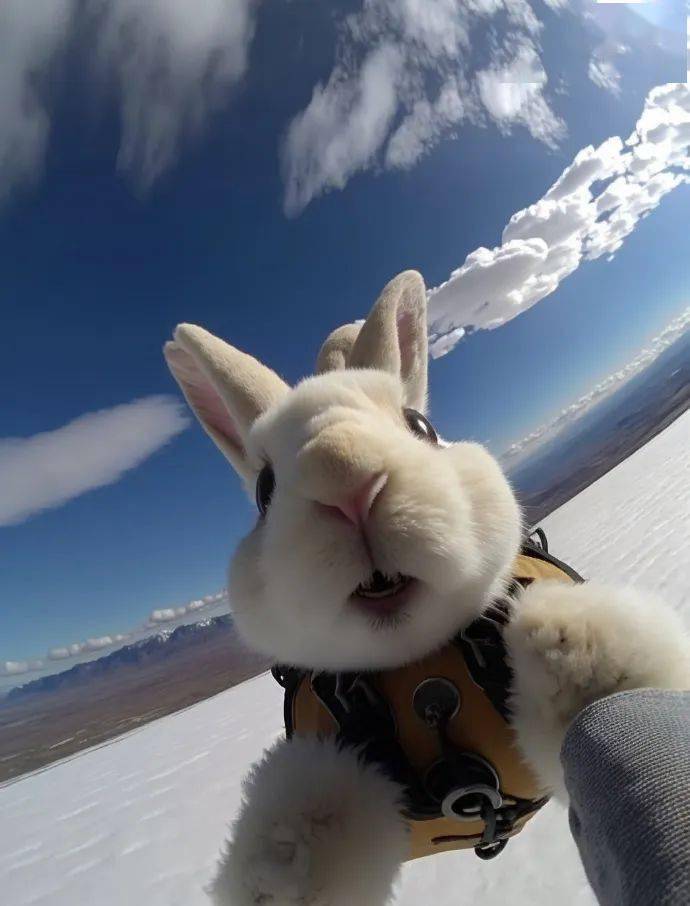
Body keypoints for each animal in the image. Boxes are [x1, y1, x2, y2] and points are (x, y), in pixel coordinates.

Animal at [163, 268, 688, 904]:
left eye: (422, 427)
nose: (346, 479)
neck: (420, 666)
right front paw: (273, 881)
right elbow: (298, 842)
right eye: (264, 488)